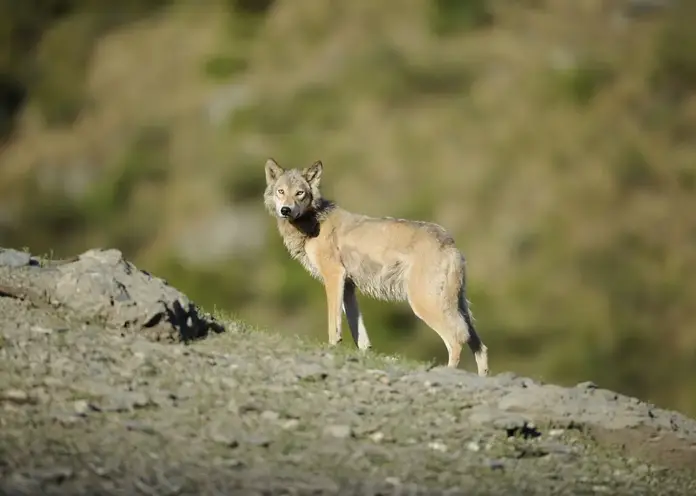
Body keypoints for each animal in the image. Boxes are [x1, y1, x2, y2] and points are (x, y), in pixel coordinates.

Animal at [262, 159, 490, 376]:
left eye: (300, 193)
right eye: (281, 191)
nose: (285, 210)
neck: (314, 222)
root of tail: (450, 243)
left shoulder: (334, 276)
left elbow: (334, 327)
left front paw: (332, 349)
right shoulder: (348, 287)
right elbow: (360, 335)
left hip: (425, 305)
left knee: (457, 339)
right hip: (459, 308)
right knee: (480, 346)